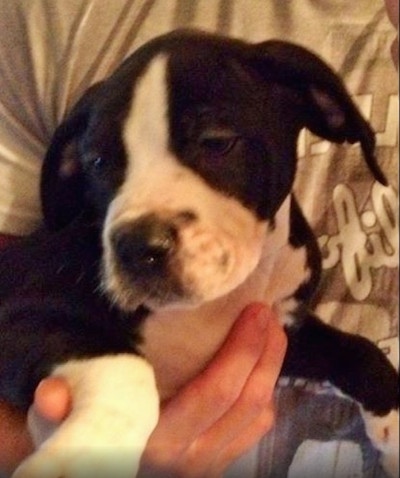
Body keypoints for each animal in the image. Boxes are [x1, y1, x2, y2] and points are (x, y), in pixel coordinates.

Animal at [1, 29, 398, 478]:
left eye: (216, 142)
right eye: (98, 162)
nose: (137, 247)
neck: (210, 305)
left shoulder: (282, 334)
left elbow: (359, 352)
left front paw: (395, 433)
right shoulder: (22, 317)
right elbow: (129, 369)